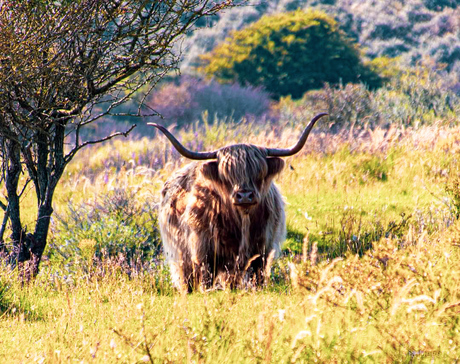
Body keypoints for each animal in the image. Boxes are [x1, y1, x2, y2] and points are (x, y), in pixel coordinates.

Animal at [149, 112, 326, 292]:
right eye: (227, 175)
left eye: (259, 173)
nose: (245, 195)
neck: (242, 221)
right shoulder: (203, 251)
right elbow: (206, 278)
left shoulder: (263, 249)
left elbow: (258, 276)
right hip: (180, 254)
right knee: (188, 278)